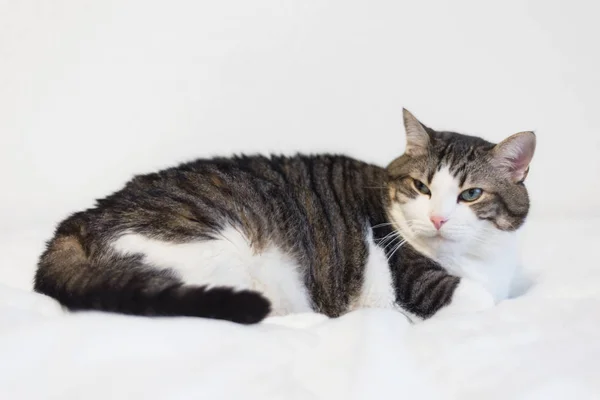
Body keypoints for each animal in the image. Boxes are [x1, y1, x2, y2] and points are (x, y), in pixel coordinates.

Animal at [34, 110, 536, 324]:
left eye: (471, 194)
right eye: (421, 188)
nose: (437, 219)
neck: (475, 260)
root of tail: (77, 222)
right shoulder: (416, 282)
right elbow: (479, 300)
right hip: (215, 250)